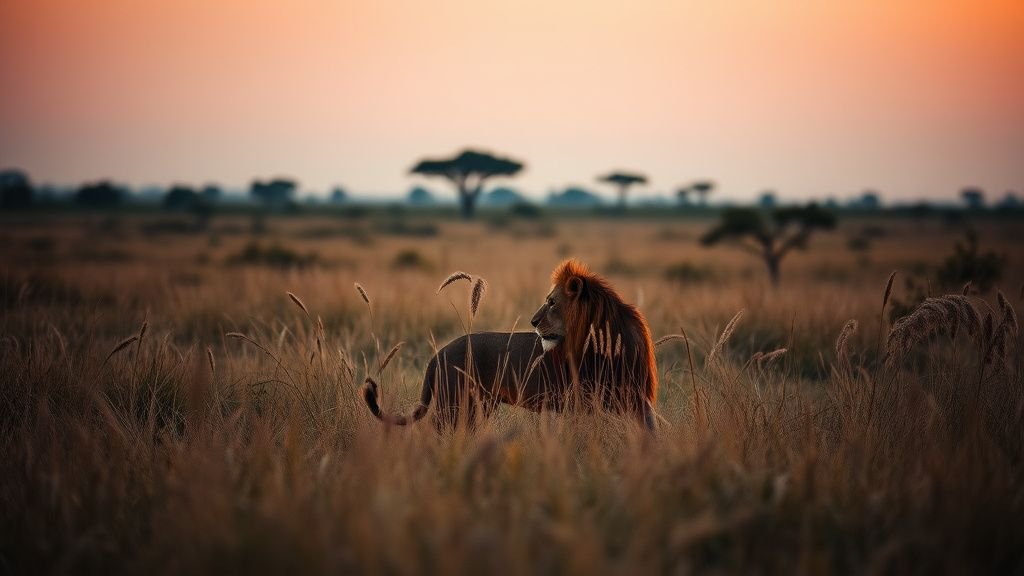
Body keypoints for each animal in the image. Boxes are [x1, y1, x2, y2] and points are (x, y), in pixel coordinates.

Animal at [361, 259, 658, 430]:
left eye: (552, 302)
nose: (533, 321)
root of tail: (437, 355)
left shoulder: (635, 398)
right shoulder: (584, 400)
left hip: (478, 405)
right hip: (454, 404)